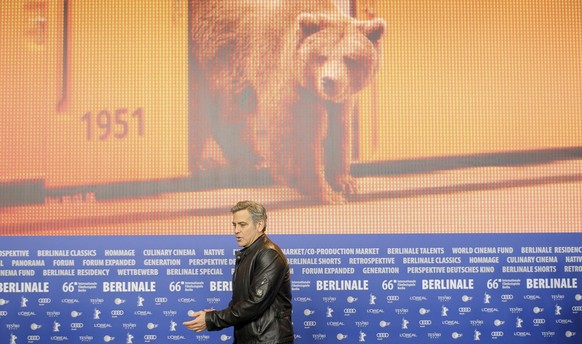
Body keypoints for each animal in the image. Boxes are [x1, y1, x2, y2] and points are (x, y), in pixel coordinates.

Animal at [189, 0, 386, 203]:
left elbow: (339, 129)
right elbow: (299, 133)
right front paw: (324, 191)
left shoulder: (341, 99)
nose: (329, 81)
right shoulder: (283, 75)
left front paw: (346, 182)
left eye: (350, 58)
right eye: (322, 56)